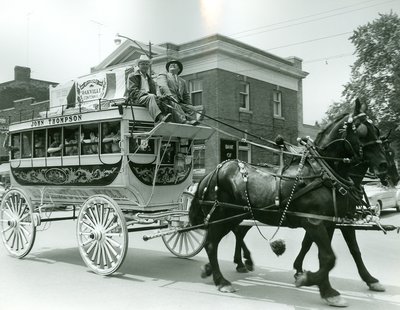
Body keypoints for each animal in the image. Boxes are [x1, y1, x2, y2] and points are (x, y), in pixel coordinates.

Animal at [230, 131, 398, 294]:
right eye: (387, 151)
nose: (395, 178)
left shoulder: (335, 219)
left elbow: (348, 249)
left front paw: (370, 280)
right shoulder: (324, 219)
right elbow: (313, 245)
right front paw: (302, 272)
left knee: (238, 232)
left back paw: (242, 261)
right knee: (237, 231)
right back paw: (243, 262)